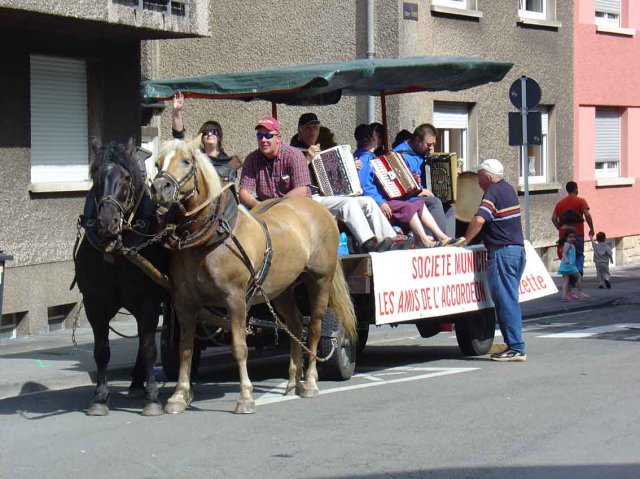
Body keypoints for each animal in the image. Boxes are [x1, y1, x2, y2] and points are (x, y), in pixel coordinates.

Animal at [73, 138, 170, 416]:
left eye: (127, 177)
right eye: (94, 174)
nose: (107, 222)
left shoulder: (149, 300)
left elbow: (149, 348)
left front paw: (152, 399)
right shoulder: (95, 302)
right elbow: (101, 351)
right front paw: (99, 398)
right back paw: (136, 383)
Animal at [152, 139, 358, 416]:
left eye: (186, 161)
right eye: (156, 163)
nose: (159, 188)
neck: (211, 237)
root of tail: (319, 208)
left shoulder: (235, 299)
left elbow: (239, 348)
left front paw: (245, 397)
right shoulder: (184, 303)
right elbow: (185, 349)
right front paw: (178, 396)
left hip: (320, 280)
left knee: (314, 328)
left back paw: (310, 383)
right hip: (281, 289)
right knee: (295, 325)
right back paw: (292, 382)